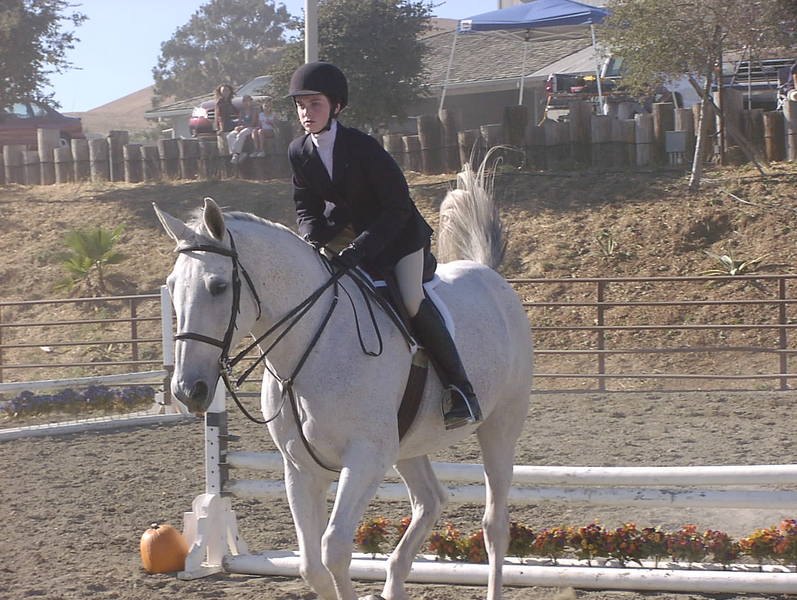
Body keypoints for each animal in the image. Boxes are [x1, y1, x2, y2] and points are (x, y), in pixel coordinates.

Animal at [154, 173, 533, 600]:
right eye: (171, 284)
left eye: (218, 286)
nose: (188, 390)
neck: (312, 344)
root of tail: (487, 274)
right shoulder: (301, 467)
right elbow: (312, 567)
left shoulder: (365, 459)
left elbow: (333, 548)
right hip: (406, 444)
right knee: (430, 500)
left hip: (500, 426)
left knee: (494, 525)